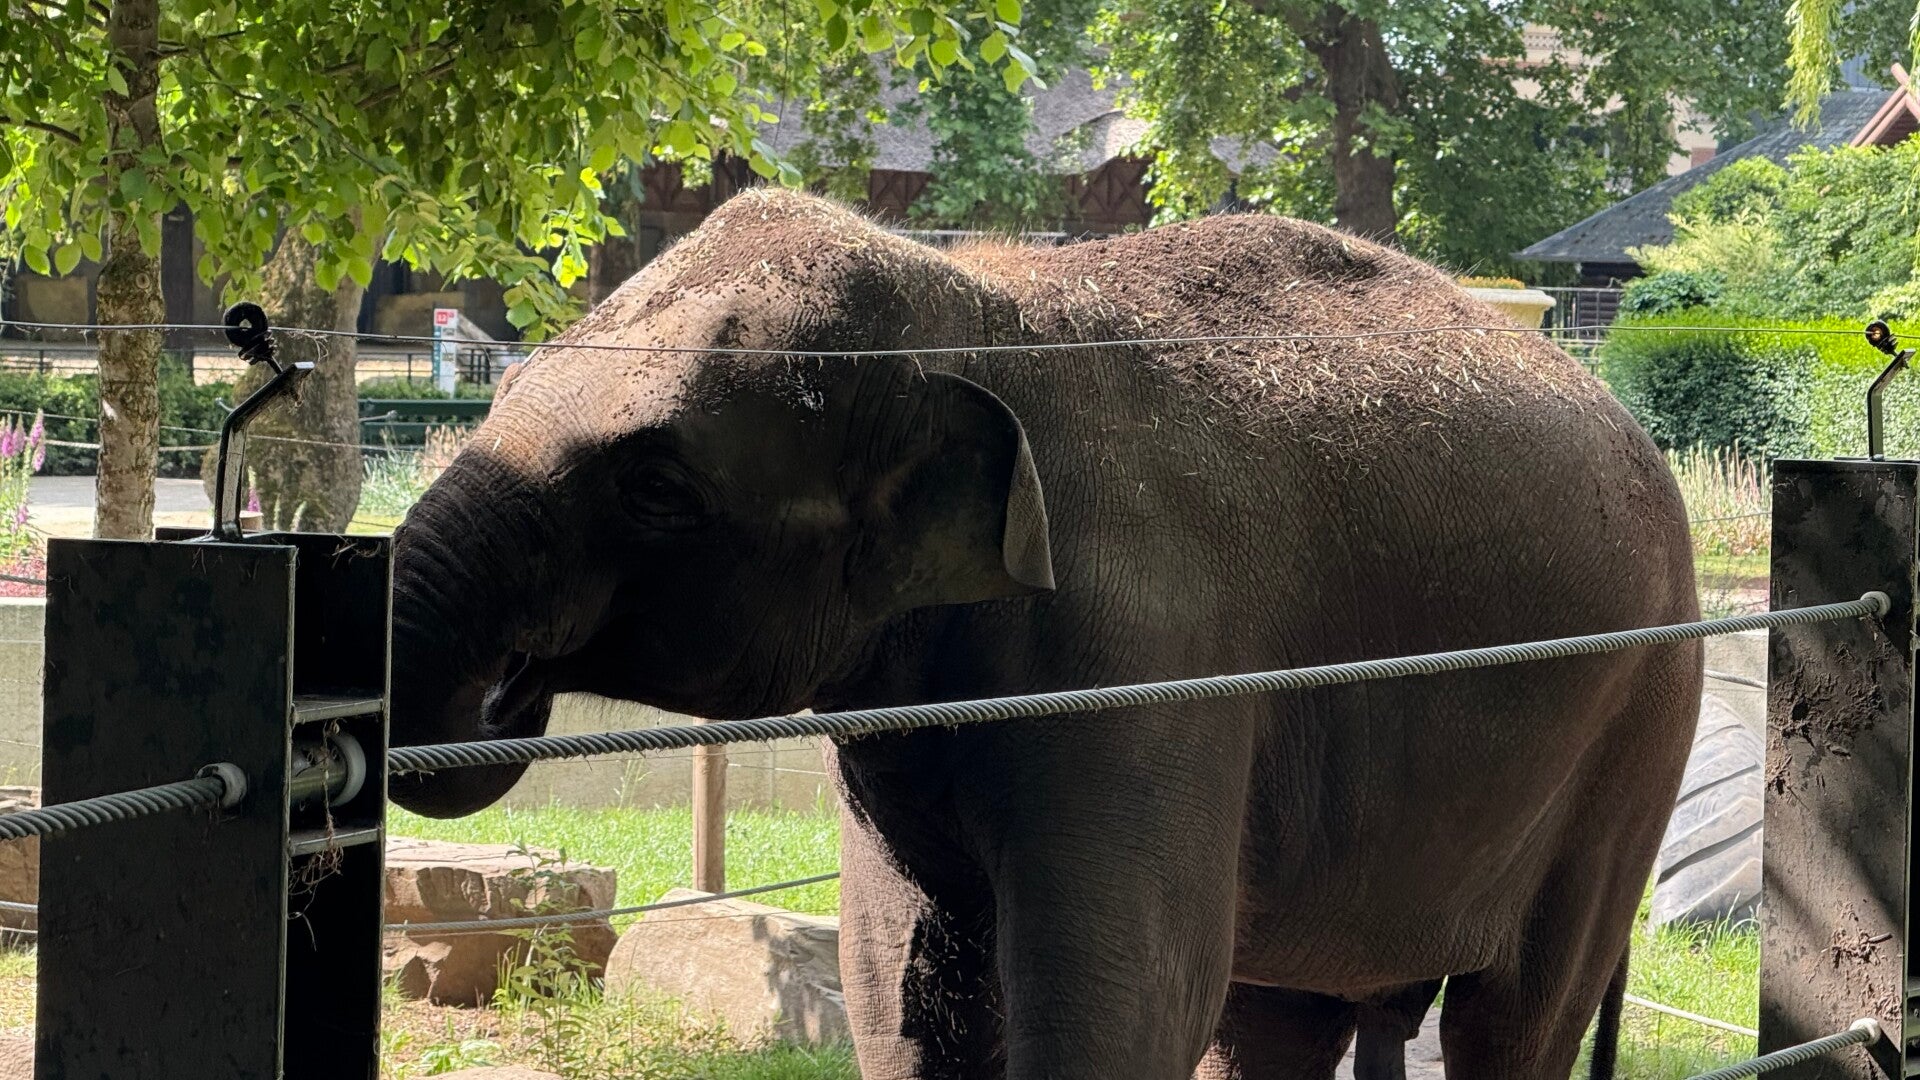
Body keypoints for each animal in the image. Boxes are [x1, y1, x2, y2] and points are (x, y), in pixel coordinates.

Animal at [386, 189, 1698, 1080]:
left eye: (657, 488)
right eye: (504, 393)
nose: (499, 691)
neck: (984, 313)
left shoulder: (1147, 671)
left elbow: (1120, 1004)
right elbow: (898, 989)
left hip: (1636, 736)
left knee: (1513, 1018)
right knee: (1280, 1017)